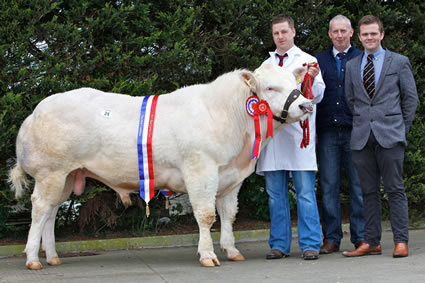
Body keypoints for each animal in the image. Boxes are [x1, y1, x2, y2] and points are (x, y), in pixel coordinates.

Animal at [7, 64, 312, 270]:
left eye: (294, 82)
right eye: (270, 88)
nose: (307, 105)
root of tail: (35, 113)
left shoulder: (232, 178)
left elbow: (228, 214)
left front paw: (231, 249)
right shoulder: (200, 169)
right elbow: (206, 215)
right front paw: (208, 255)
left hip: (68, 175)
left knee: (51, 212)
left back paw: (53, 256)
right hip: (51, 172)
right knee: (40, 209)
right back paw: (33, 258)